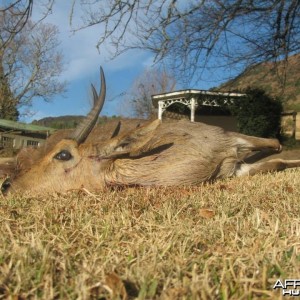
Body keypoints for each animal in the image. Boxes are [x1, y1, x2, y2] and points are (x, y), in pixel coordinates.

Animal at [0, 67, 300, 196]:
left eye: (63, 154)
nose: (7, 186)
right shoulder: (235, 168)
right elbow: (274, 162)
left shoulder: (230, 142)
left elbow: (275, 145)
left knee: (274, 142)